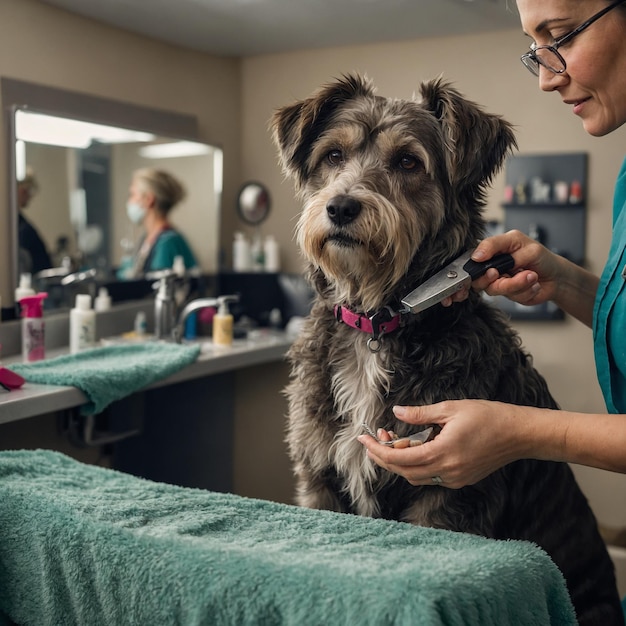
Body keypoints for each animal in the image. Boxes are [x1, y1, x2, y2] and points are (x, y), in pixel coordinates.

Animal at [270, 75, 620, 620]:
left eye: (408, 162)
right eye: (333, 155)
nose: (341, 207)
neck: (378, 324)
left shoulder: (448, 502)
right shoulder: (319, 478)